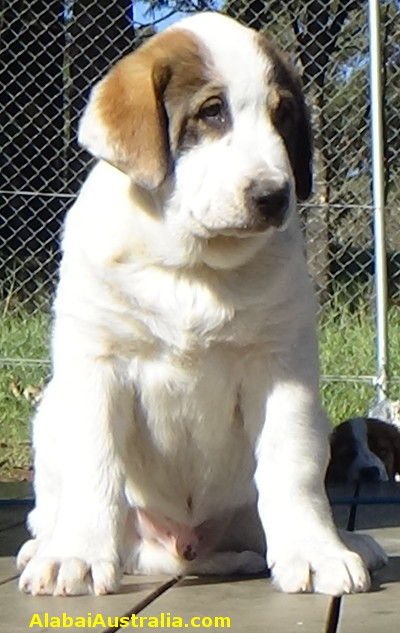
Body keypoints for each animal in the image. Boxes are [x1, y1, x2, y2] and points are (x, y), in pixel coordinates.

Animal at [16, 12, 388, 596]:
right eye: (212, 112)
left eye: (283, 116)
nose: (274, 196)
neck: (194, 266)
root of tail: (182, 550)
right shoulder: (96, 364)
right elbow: (93, 465)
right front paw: (72, 555)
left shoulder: (281, 370)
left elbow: (293, 465)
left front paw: (316, 552)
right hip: (52, 410)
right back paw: (45, 546)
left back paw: (350, 541)